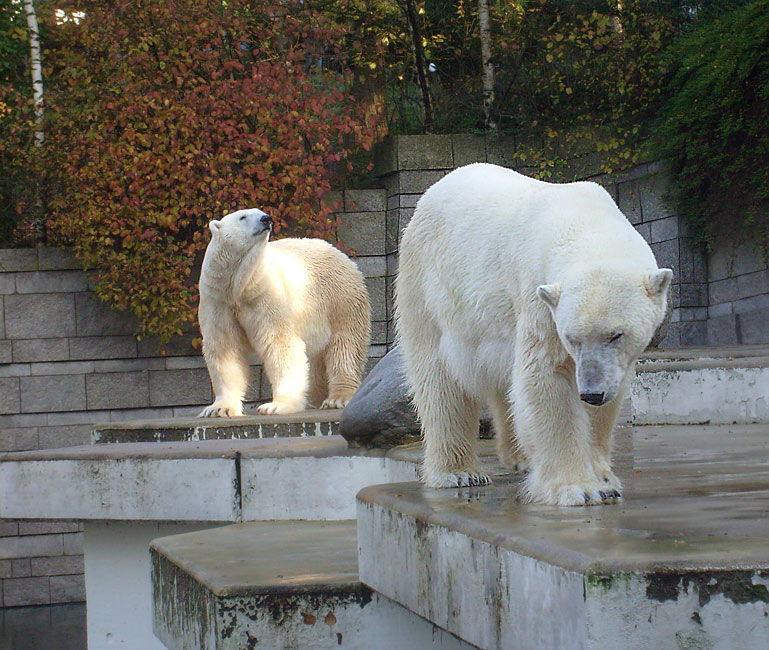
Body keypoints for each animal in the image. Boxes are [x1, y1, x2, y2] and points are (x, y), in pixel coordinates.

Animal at [195, 209, 368, 420]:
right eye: (243, 217)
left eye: (260, 212)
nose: (266, 219)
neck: (238, 286)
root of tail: (342, 255)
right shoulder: (218, 299)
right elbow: (224, 347)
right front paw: (219, 409)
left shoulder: (266, 293)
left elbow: (279, 343)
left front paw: (277, 405)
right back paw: (314, 398)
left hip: (340, 300)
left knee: (345, 348)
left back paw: (338, 398)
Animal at [396, 163, 672, 506]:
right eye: (571, 338)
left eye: (616, 335)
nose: (591, 393)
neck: (584, 220)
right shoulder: (538, 296)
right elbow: (546, 375)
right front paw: (578, 487)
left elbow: (607, 395)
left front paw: (604, 477)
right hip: (427, 287)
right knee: (440, 380)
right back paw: (459, 472)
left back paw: (520, 458)